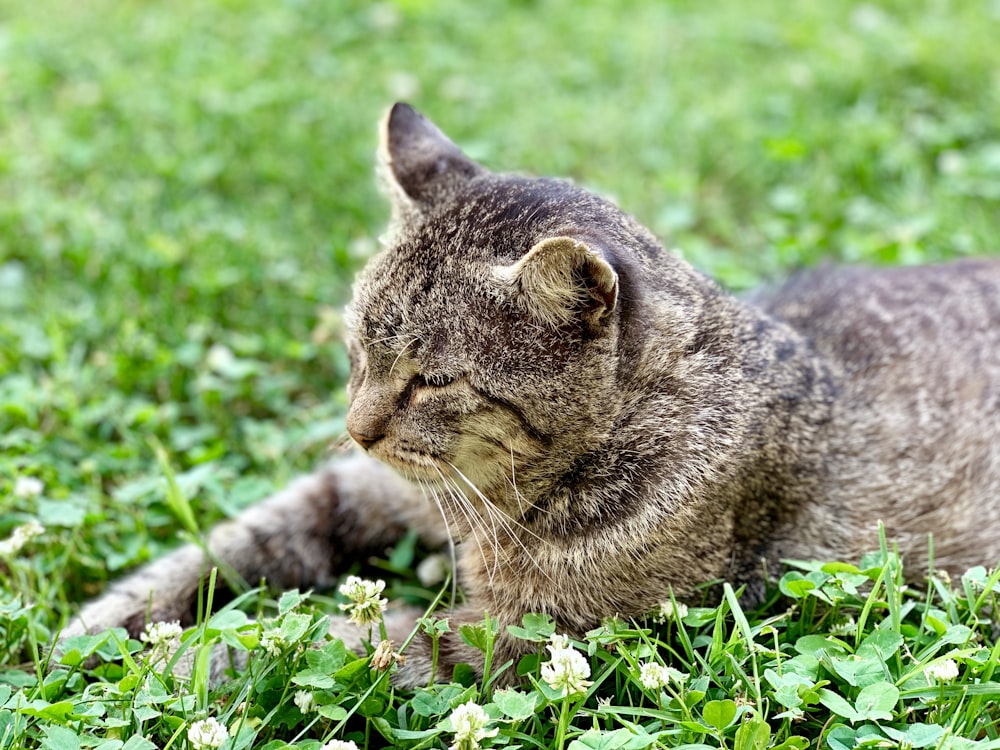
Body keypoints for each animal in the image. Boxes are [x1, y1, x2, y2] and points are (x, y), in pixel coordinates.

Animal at [60, 104, 1000, 688]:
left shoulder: (529, 641)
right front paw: (103, 624)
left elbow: (324, 640)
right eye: (357, 347)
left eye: (434, 380)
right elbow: (235, 542)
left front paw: (175, 663)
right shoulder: (361, 490)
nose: (357, 429)